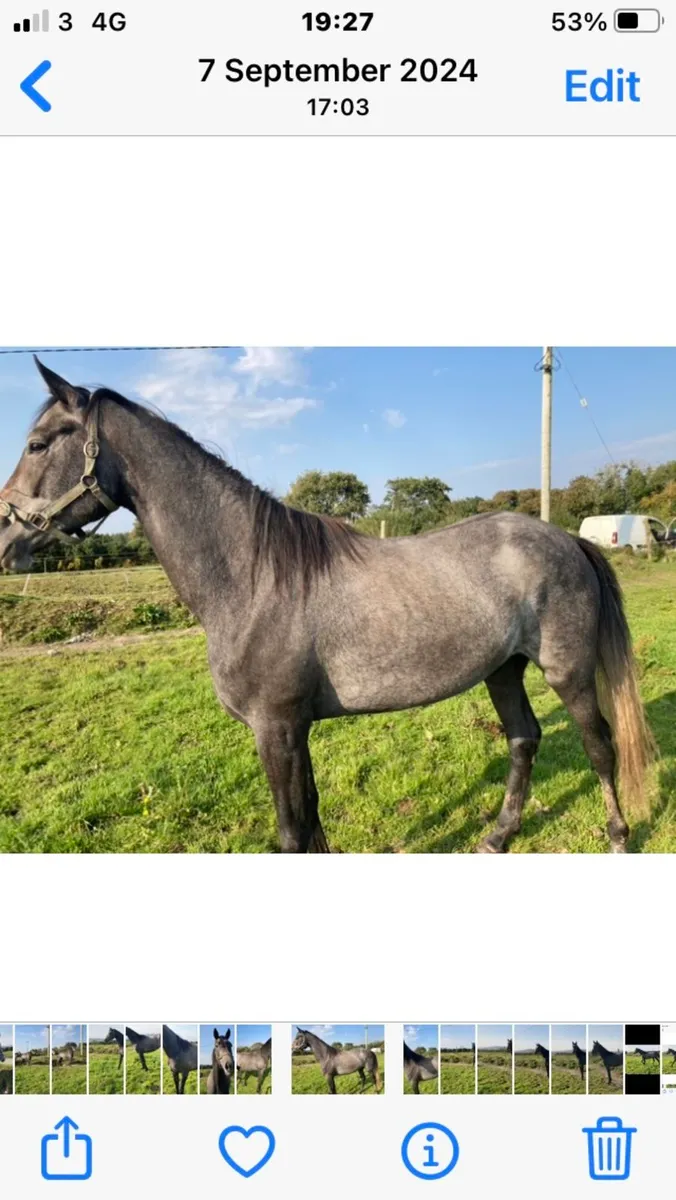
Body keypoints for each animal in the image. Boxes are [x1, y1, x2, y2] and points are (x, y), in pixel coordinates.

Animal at [0, 360, 655, 854]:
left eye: (36, 444)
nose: (5, 538)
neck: (253, 579)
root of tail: (566, 539)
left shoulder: (276, 729)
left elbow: (293, 832)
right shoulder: (295, 731)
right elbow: (311, 821)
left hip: (568, 672)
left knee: (600, 746)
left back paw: (618, 836)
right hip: (503, 670)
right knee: (523, 740)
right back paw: (498, 837)